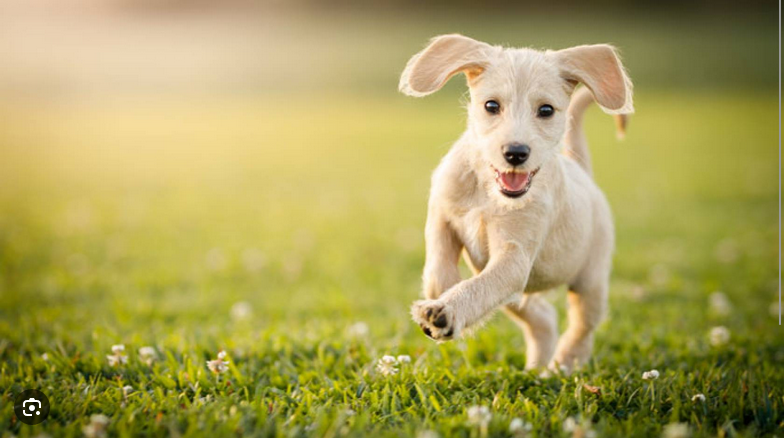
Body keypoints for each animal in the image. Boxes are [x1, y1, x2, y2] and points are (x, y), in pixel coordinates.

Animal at [402, 34, 632, 372]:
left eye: (546, 110)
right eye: (491, 105)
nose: (516, 153)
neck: (487, 192)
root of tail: (583, 172)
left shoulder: (514, 257)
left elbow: (478, 286)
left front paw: (447, 310)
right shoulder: (441, 218)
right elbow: (436, 272)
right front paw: (442, 295)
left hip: (590, 282)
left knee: (581, 328)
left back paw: (563, 365)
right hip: (523, 296)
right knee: (543, 317)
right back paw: (538, 369)